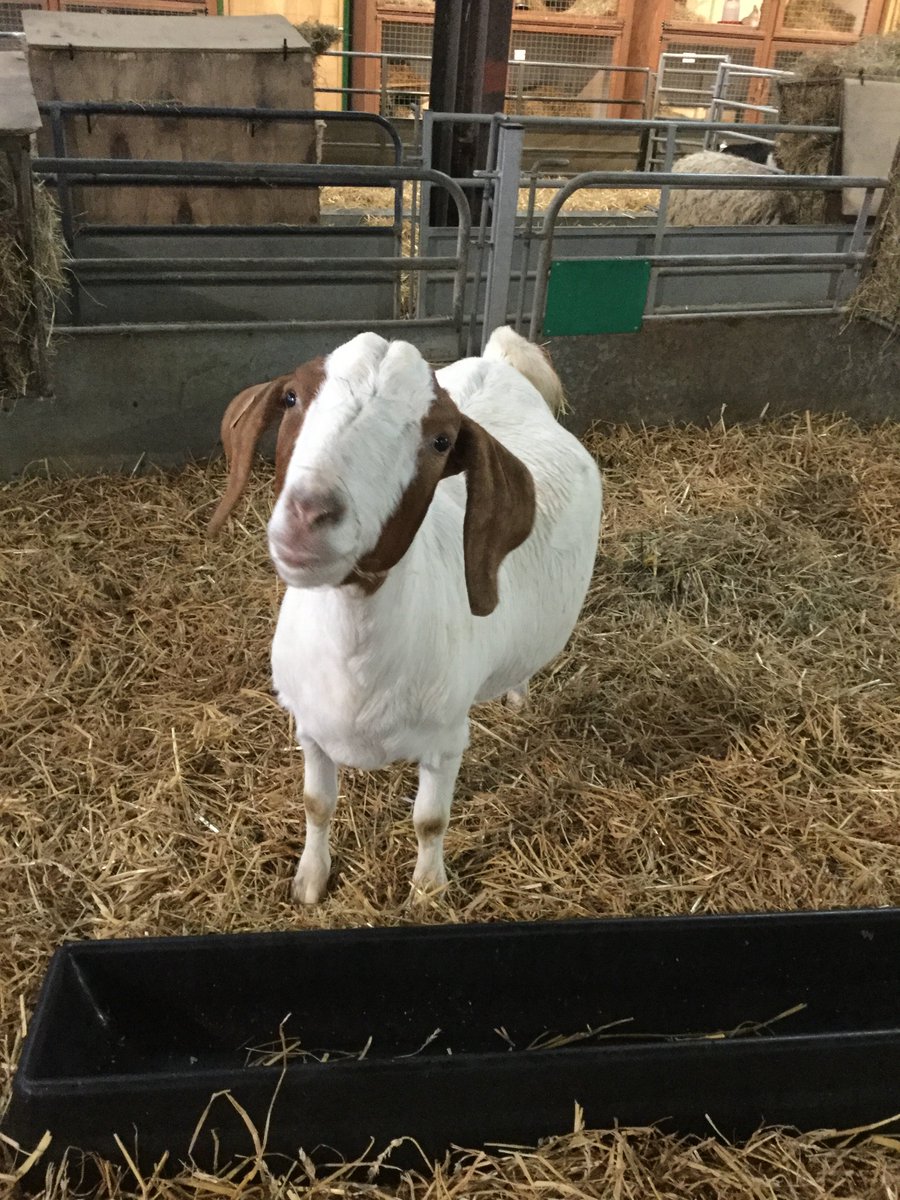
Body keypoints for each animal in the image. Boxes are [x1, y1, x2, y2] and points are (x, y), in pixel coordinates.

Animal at [209, 327, 602, 904]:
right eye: (292, 398)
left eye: (440, 441)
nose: (309, 513)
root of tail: (497, 361)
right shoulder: (310, 730)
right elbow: (317, 805)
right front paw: (310, 881)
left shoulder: (446, 739)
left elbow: (429, 821)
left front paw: (428, 890)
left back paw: (516, 694)